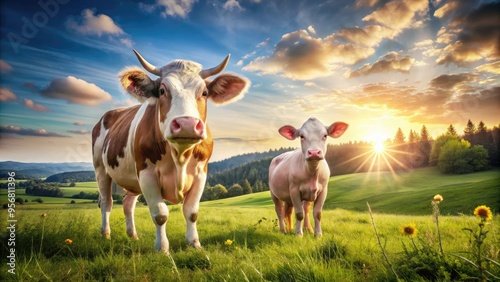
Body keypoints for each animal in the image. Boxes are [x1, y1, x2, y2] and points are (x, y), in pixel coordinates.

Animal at [92, 50, 250, 253]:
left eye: (205, 92)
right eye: (161, 91)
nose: (187, 124)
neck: (180, 156)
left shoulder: (201, 174)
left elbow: (192, 212)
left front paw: (194, 244)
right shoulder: (146, 174)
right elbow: (160, 214)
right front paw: (162, 249)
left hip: (131, 180)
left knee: (128, 204)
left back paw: (133, 235)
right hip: (101, 169)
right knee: (106, 202)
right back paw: (105, 234)